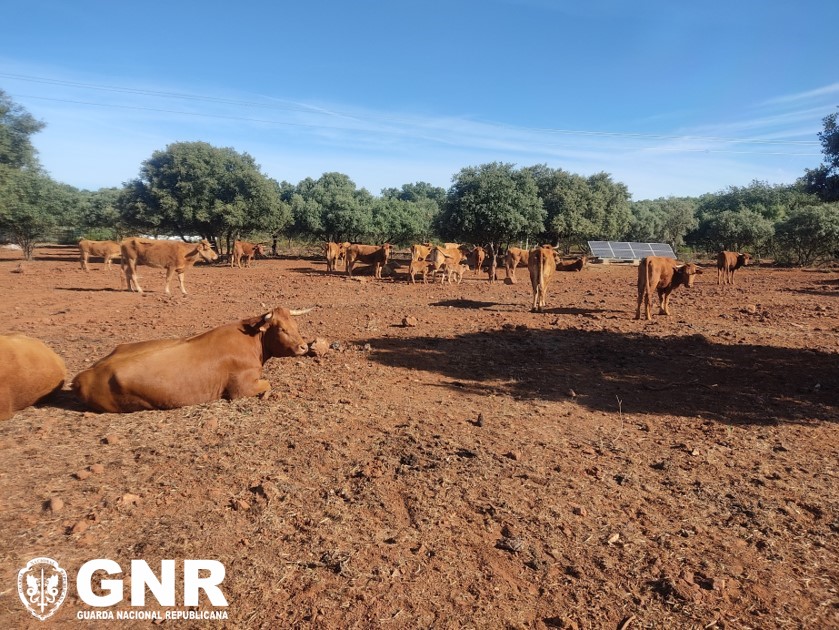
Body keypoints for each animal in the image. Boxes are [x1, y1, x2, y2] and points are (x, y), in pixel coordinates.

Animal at [73, 308, 312, 414]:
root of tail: (84, 375)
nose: (304, 346)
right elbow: (268, 384)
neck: (252, 340)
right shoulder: (241, 388)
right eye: (281, 329)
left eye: (296, 326)